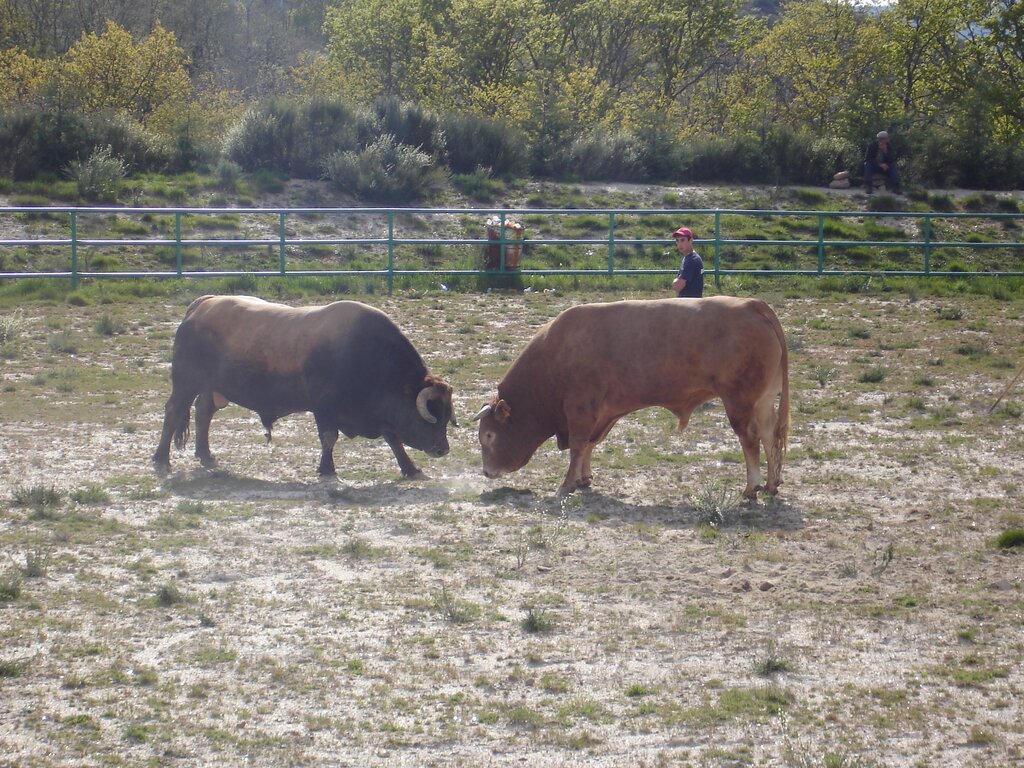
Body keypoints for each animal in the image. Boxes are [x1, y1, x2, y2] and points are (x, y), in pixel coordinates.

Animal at [152, 296, 456, 479]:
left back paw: (205, 454)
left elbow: (393, 440)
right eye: (431, 415)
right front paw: (327, 469)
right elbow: (329, 438)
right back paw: (161, 459)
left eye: (446, 416)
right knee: (173, 412)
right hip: (186, 383)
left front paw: (410, 468)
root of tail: (201, 305)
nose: (442, 449)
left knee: (203, 414)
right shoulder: (324, 409)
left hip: (210, 388)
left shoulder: (380, 415)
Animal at [471, 294, 790, 499]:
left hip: (739, 403)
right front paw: (583, 478)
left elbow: (577, 446)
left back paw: (751, 488)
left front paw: (567, 484)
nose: (486, 472)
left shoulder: (580, 410)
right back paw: (771, 485)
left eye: (489, 435)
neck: (555, 355)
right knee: (769, 435)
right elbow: (588, 445)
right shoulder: (601, 413)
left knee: (750, 441)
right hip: (762, 402)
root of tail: (751, 305)